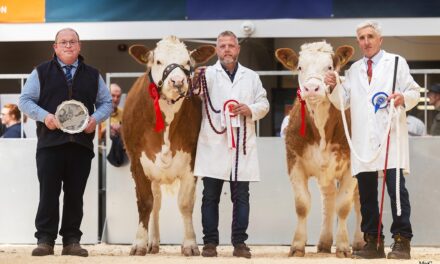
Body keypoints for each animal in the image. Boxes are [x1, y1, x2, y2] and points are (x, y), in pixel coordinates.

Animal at [122, 36, 215, 256]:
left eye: (187, 63)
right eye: (158, 61)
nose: (178, 81)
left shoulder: (191, 162)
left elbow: (185, 203)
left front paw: (189, 244)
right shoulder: (137, 163)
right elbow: (145, 203)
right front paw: (139, 243)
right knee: (155, 203)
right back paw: (152, 242)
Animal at [276, 41, 364, 258]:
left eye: (329, 67)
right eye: (300, 67)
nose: (311, 88)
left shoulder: (351, 167)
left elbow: (344, 206)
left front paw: (343, 246)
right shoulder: (294, 162)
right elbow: (302, 205)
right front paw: (297, 245)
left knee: (359, 202)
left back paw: (359, 241)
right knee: (329, 199)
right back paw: (324, 241)